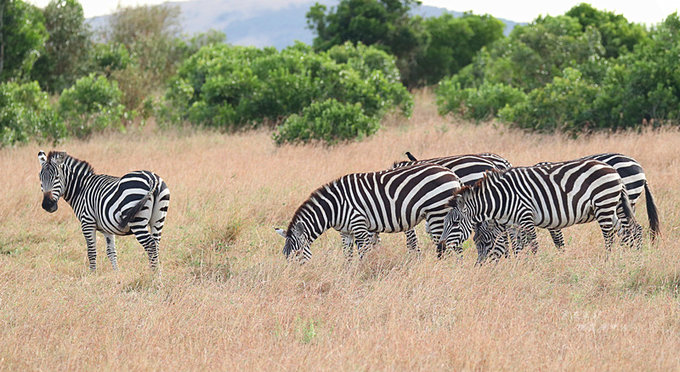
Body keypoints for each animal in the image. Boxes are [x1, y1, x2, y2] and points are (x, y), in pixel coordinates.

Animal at [38, 150, 170, 270]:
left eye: (57, 177)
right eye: (40, 178)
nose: (47, 205)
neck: (81, 189)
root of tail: (152, 178)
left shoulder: (87, 222)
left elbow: (91, 251)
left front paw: (92, 274)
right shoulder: (107, 228)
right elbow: (111, 252)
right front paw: (116, 274)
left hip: (137, 221)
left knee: (150, 245)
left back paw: (153, 275)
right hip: (158, 219)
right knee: (156, 244)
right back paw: (156, 274)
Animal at [274, 163, 462, 262]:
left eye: (296, 255)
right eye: (285, 257)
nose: (296, 278)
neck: (334, 207)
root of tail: (452, 174)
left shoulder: (359, 225)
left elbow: (363, 253)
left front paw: (365, 271)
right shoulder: (345, 232)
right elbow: (348, 256)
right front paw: (348, 274)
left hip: (438, 214)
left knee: (446, 245)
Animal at [438, 158, 640, 258]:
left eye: (455, 223)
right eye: (476, 243)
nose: (441, 246)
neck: (501, 199)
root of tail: (613, 170)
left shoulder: (525, 216)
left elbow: (533, 244)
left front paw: (533, 267)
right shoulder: (513, 223)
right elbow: (518, 246)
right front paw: (519, 265)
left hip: (603, 205)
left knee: (610, 236)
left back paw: (608, 260)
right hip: (612, 206)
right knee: (629, 230)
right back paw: (631, 258)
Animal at [476, 153, 660, 260]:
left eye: (485, 242)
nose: (481, 268)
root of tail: (637, 165)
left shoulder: (550, 215)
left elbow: (557, 241)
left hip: (621, 202)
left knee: (627, 231)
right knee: (631, 230)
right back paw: (633, 257)